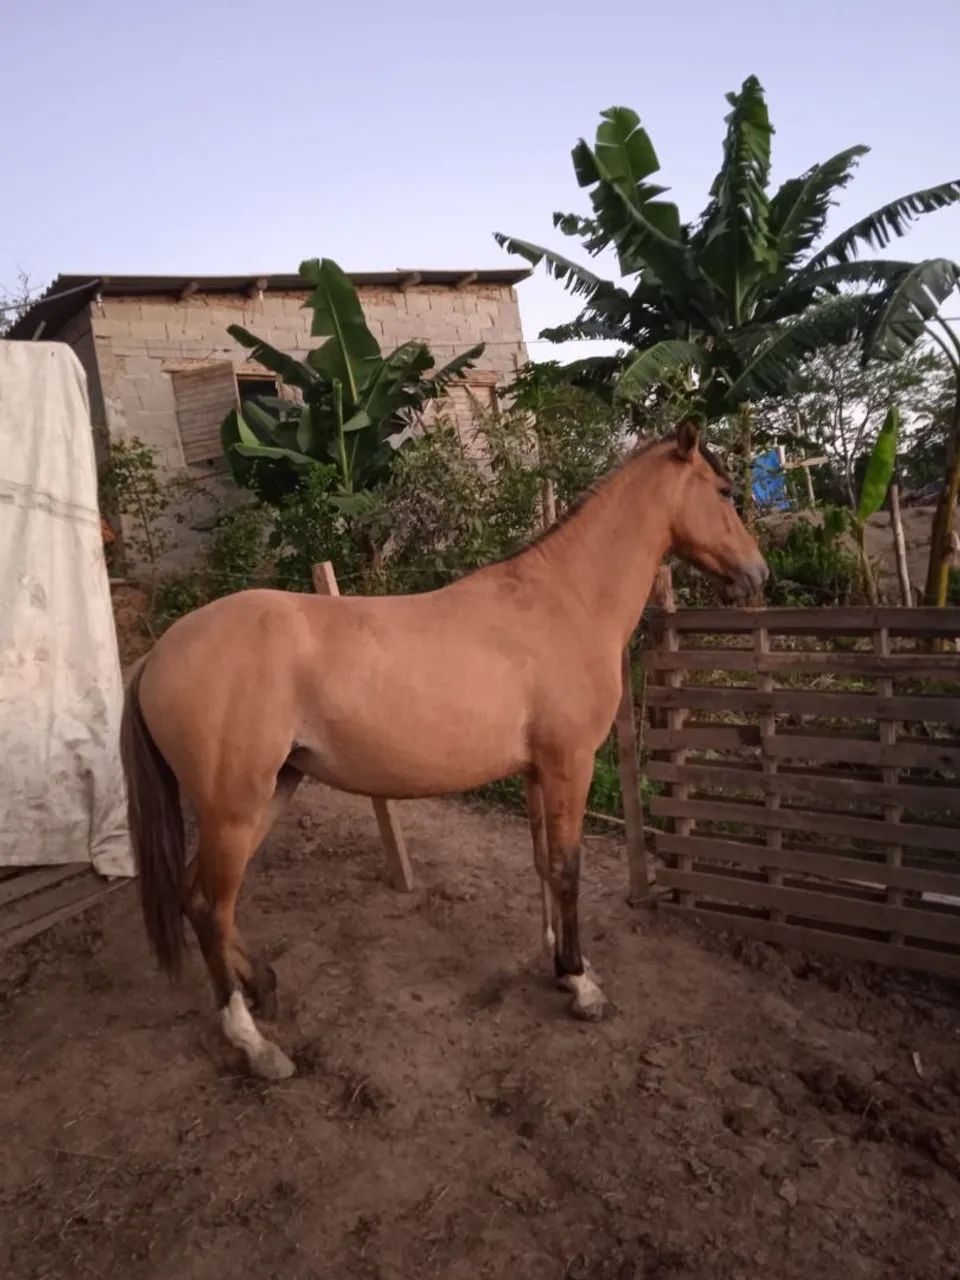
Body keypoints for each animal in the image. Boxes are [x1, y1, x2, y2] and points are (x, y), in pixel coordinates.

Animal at [120, 422, 767, 1080]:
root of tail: (160, 654)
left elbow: (542, 865)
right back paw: (255, 1044)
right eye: (724, 492)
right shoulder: (570, 765)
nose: (758, 575)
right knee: (208, 908)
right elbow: (567, 869)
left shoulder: (537, 772)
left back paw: (264, 984)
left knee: (199, 899)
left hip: (269, 794)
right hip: (233, 811)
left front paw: (561, 965)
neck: (565, 601)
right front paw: (583, 986)